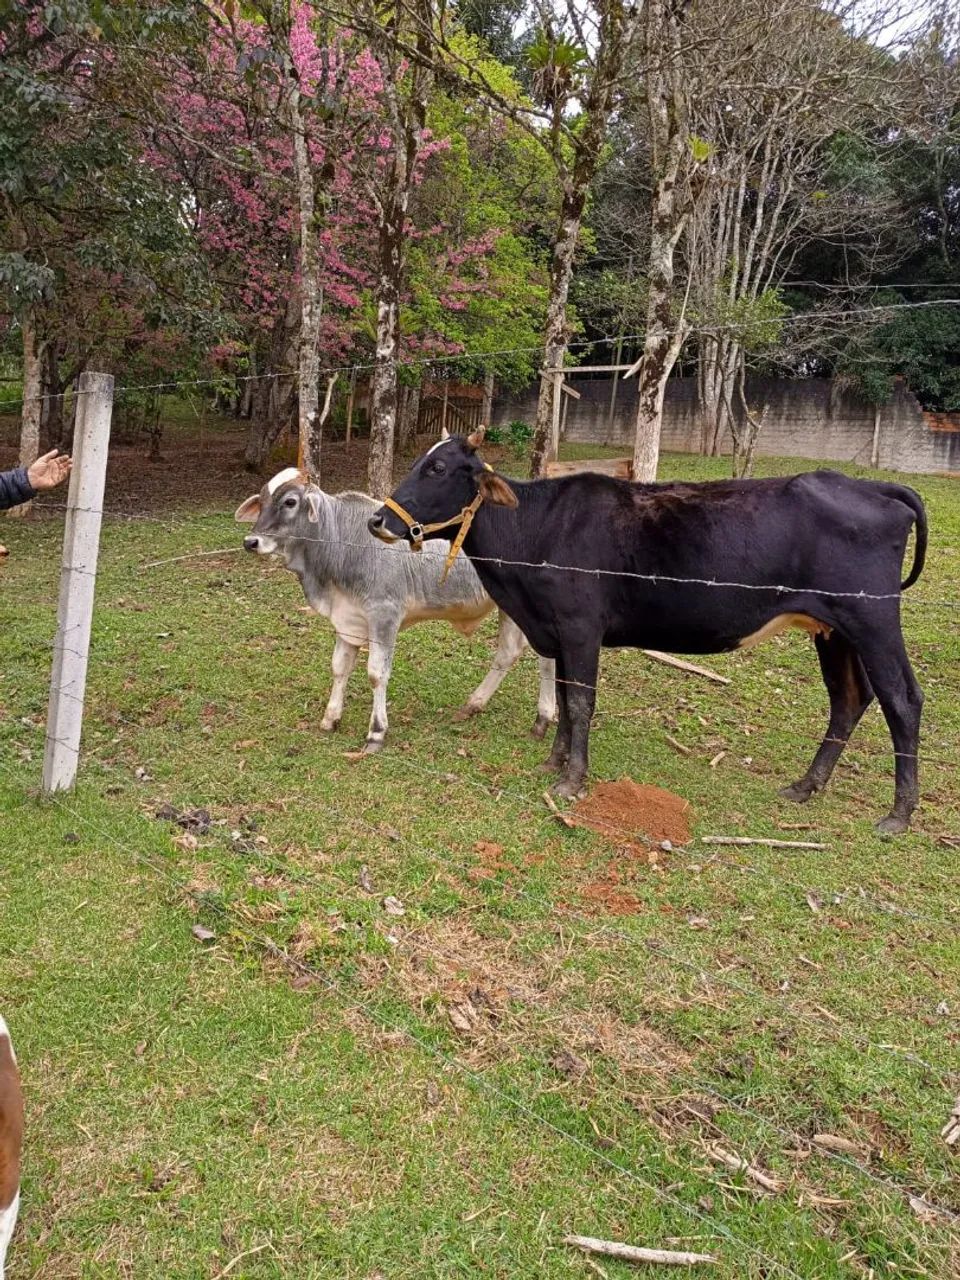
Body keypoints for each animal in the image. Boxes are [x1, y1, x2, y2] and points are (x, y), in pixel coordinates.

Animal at [235, 467, 556, 752]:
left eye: (290, 502)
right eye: (261, 500)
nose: (251, 542)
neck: (341, 543)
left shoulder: (384, 616)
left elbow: (377, 673)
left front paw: (376, 732)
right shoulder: (348, 620)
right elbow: (339, 667)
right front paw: (330, 718)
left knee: (545, 656)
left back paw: (542, 719)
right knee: (508, 652)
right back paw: (474, 704)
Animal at [368, 429, 928, 834]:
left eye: (438, 468)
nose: (378, 520)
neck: (536, 531)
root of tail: (872, 486)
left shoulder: (580, 626)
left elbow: (581, 701)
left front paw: (573, 780)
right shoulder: (555, 629)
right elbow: (566, 695)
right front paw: (555, 762)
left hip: (872, 620)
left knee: (902, 700)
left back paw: (898, 814)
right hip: (832, 629)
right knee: (849, 699)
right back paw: (806, 786)